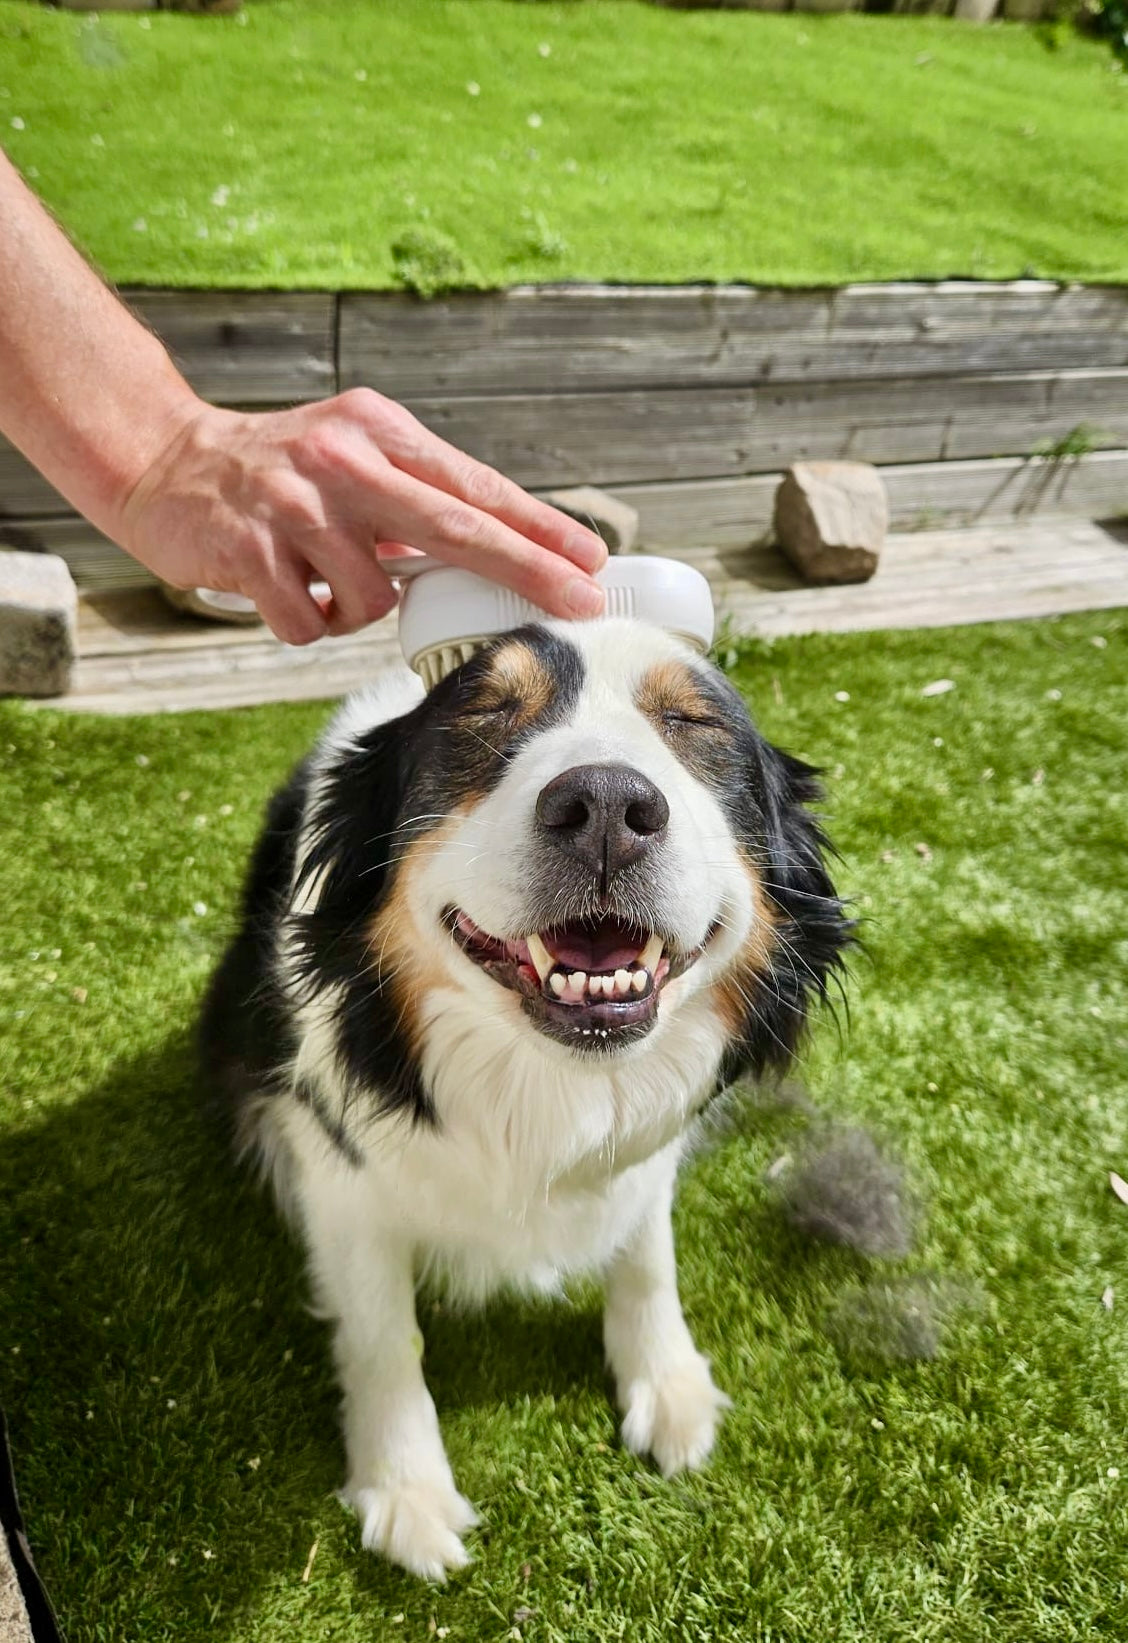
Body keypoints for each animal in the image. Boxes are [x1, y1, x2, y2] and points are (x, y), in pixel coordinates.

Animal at [198, 617, 853, 1577]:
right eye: (486, 712)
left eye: (694, 722)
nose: (608, 805)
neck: (544, 1083)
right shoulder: (340, 1174)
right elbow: (384, 1330)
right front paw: (406, 1489)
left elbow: (646, 1251)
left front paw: (668, 1380)